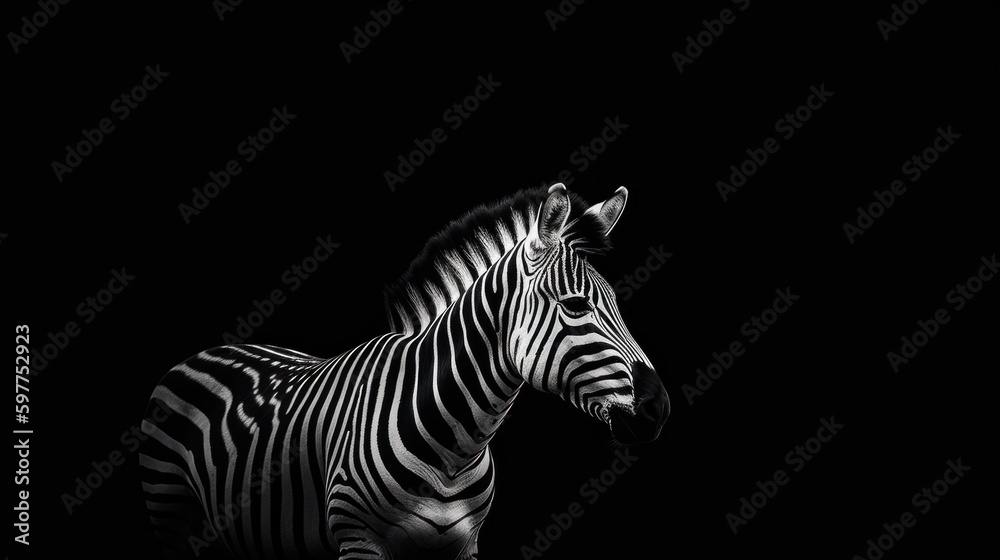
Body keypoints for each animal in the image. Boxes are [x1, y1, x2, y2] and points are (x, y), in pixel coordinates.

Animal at [139, 183, 670, 559]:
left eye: (618, 303)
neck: (455, 445)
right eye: (576, 306)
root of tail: (203, 352)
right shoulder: (358, 542)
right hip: (168, 512)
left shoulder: (462, 548)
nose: (658, 408)